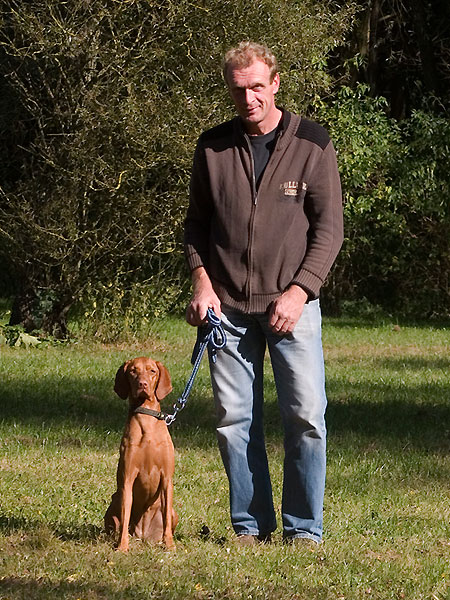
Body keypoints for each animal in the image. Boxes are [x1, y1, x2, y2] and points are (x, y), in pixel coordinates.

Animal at [104, 357, 178, 551]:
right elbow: (125, 517)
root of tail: (143, 535)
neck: (147, 420)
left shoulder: (167, 479)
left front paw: (169, 545)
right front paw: (122, 547)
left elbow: (166, 522)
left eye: (152, 371)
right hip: (113, 503)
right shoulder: (127, 479)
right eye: (133, 371)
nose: (142, 384)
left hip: (173, 511)